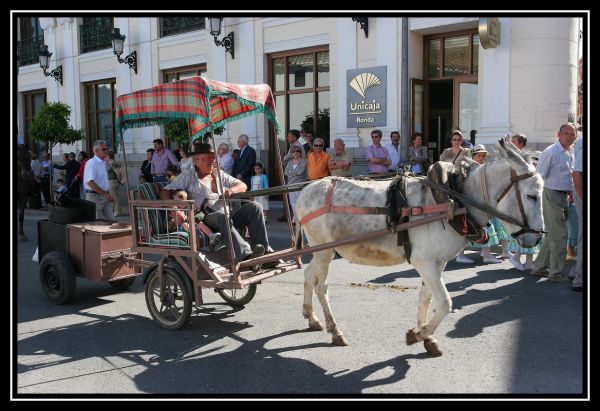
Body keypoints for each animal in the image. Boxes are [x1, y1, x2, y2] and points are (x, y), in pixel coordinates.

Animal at [296, 140, 544, 356]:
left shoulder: (437, 262)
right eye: (532, 196)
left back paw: (311, 317)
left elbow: (426, 297)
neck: (453, 199)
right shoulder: (424, 262)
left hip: (322, 250)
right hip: (323, 249)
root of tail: (306, 190)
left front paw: (427, 338)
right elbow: (444, 303)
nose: (537, 239)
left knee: (308, 275)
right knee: (321, 287)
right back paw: (335, 331)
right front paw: (417, 335)